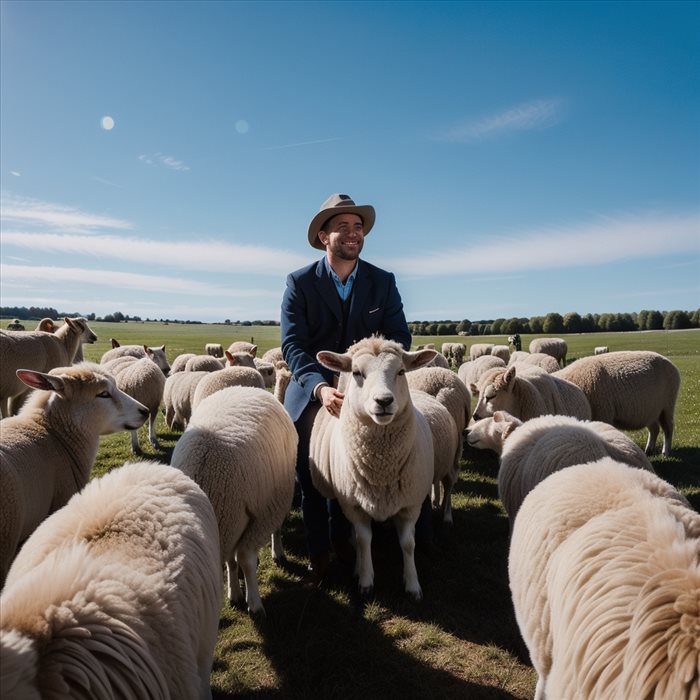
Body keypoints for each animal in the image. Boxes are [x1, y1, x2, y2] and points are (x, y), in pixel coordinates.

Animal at [174, 386, 300, 616]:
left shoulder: (249, 518)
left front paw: (244, 598)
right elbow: (238, 559)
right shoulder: (248, 517)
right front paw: (244, 597)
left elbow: (238, 560)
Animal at [308, 336, 438, 600]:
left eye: (401, 371)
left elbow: (408, 544)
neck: (381, 467)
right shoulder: (353, 505)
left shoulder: (411, 504)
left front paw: (412, 584)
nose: (384, 401)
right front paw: (366, 580)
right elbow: (363, 539)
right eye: (357, 372)